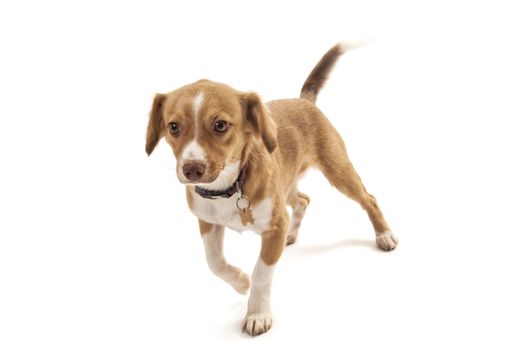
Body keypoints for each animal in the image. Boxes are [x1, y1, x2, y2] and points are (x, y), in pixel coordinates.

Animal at [143, 42, 398, 334]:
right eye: (173, 127)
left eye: (220, 125)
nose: (192, 169)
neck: (229, 187)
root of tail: (303, 100)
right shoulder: (207, 222)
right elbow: (214, 262)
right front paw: (240, 282)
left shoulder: (274, 225)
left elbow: (262, 273)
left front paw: (257, 314)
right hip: (287, 188)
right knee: (303, 200)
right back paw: (292, 233)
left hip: (339, 172)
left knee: (369, 198)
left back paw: (384, 235)